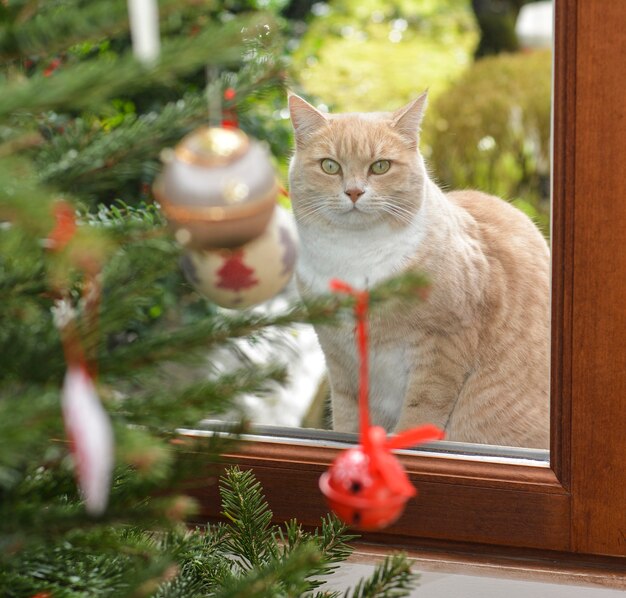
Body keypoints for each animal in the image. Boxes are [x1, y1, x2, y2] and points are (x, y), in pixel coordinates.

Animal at [286, 95, 544, 450]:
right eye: (330, 166)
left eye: (380, 166)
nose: (354, 192)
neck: (355, 254)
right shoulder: (338, 358)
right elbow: (349, 416)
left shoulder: (444, 344)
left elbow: (422, 408)